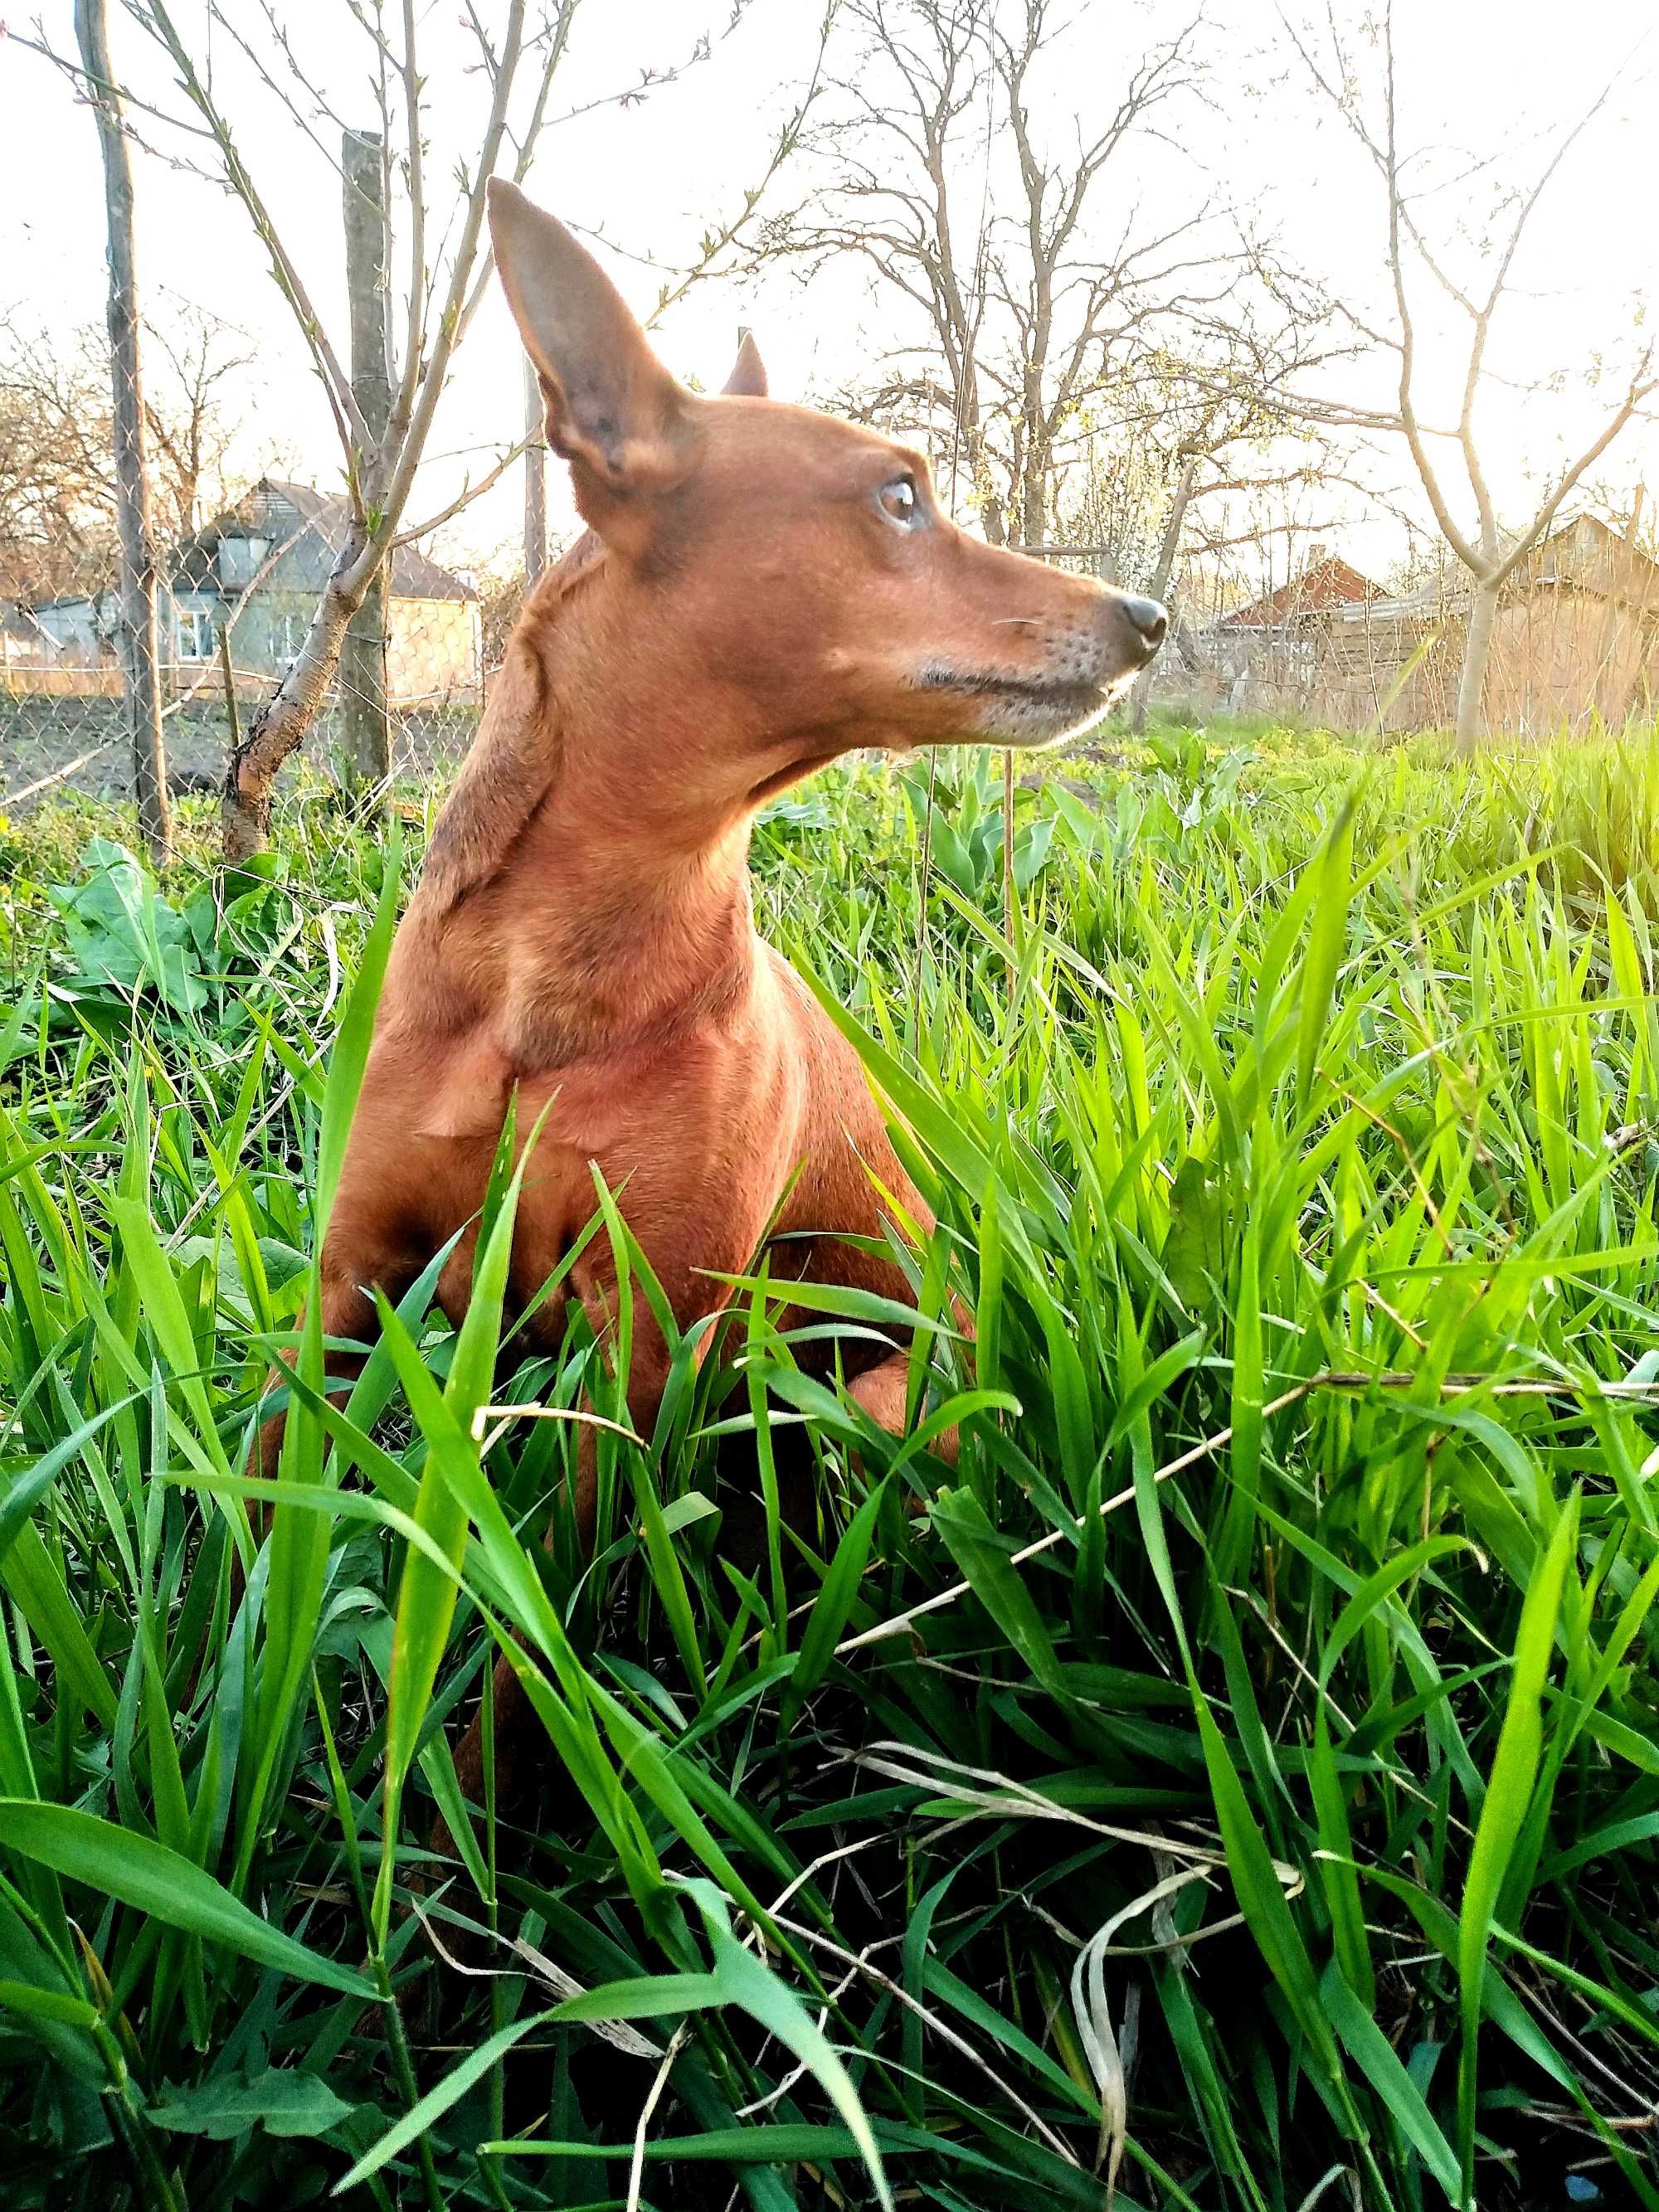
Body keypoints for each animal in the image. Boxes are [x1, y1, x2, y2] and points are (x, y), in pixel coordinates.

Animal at [266, 177, 1159, 1778]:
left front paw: (473, 1801)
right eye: (900, 494)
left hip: (871, 1403)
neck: (551, 974)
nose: (1150, 615)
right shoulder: (350, 1277)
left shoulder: (636, 1343)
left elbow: (532, 1635)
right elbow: (255, 1496)